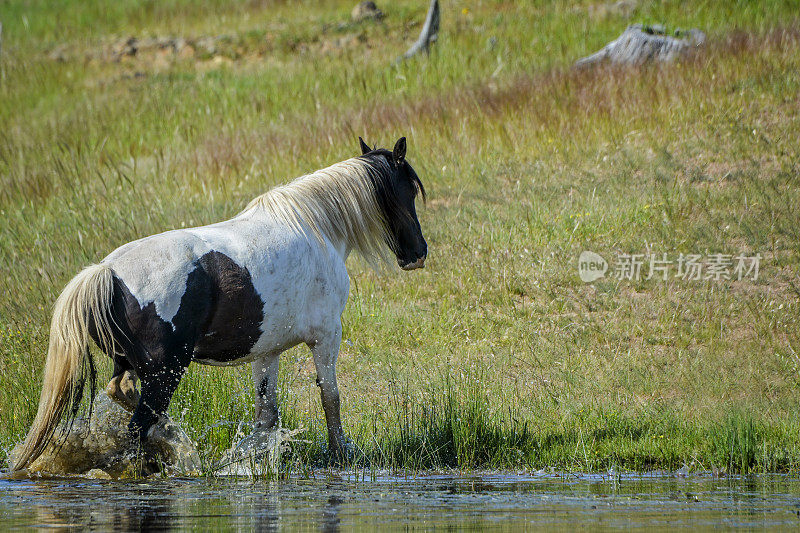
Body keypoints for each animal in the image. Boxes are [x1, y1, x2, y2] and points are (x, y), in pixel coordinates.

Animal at [10, 136, 424, 470]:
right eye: (409, 190)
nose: (417, 254)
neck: (315, 228)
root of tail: (108, 271)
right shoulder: (325, 337)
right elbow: (331, 399)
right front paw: (340, 458)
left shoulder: (266, 353)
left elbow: (267, 418)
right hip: (164, 373)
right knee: (137, 428)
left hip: (130, 366)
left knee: (122, 395)